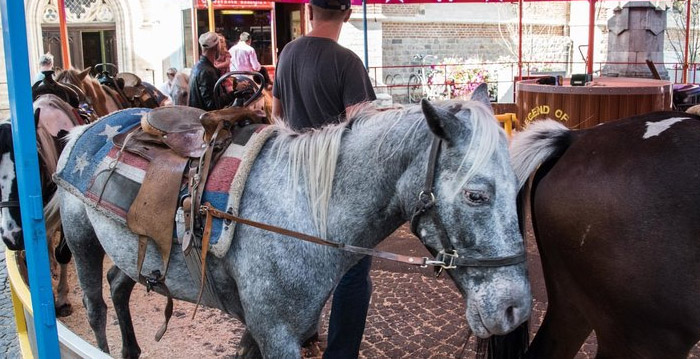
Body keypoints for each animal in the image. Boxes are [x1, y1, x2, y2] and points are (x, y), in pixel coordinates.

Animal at [58, 86, 532, 358]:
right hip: (82, 240)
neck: (301, 210)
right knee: (96, 306)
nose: (516, 308)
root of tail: (85, 128)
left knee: (119, 285)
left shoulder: (269, 327)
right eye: (476, 195)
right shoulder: (276, 332)